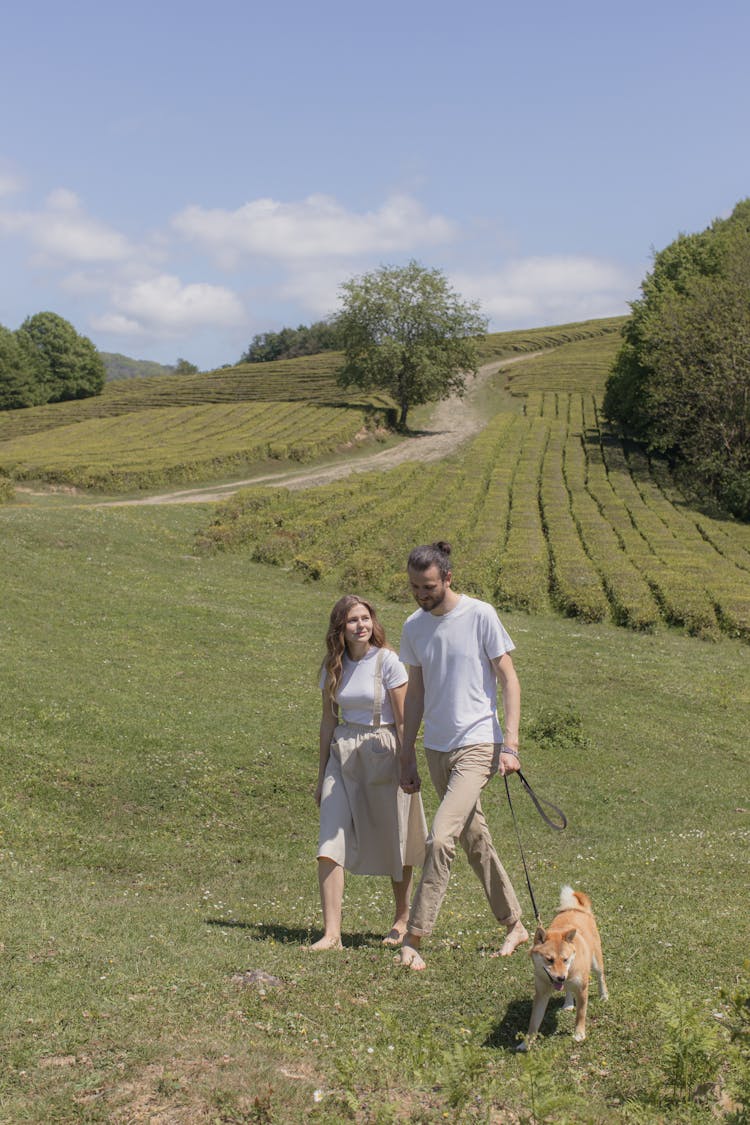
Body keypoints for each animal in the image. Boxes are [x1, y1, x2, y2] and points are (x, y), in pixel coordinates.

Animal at [519, 882, 607, 1048]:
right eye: (549, 960)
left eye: (565, 959)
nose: (560, 977)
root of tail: (576, 908)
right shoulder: (541, 994)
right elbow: (533, 1022)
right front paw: (526, 1043)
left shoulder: (582, 989)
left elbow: (581, 1014)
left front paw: (579, 1034)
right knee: (568, 989)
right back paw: (568, 1003)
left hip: (596, 961)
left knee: (601, 976)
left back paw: (604, 995)